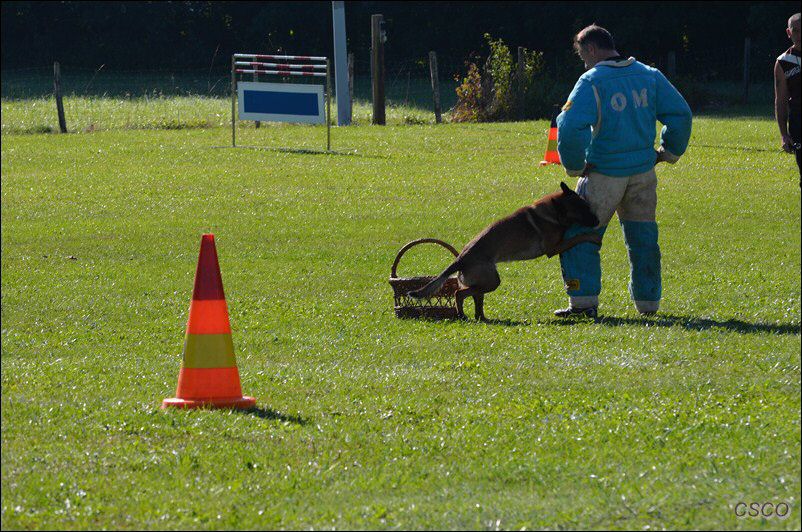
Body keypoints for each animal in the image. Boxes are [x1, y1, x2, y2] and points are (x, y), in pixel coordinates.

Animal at [410, 183, 596, 320]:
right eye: (582, 211)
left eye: (587, 207)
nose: (598, 220)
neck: (552, 212)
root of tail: (460, 259)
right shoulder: (553, 249)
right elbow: (576, 238)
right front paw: (592, 237)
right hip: (491, 281)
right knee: (459, 294)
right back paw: (462, 315)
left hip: (483, 282)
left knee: (476, 299)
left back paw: (482, 318)